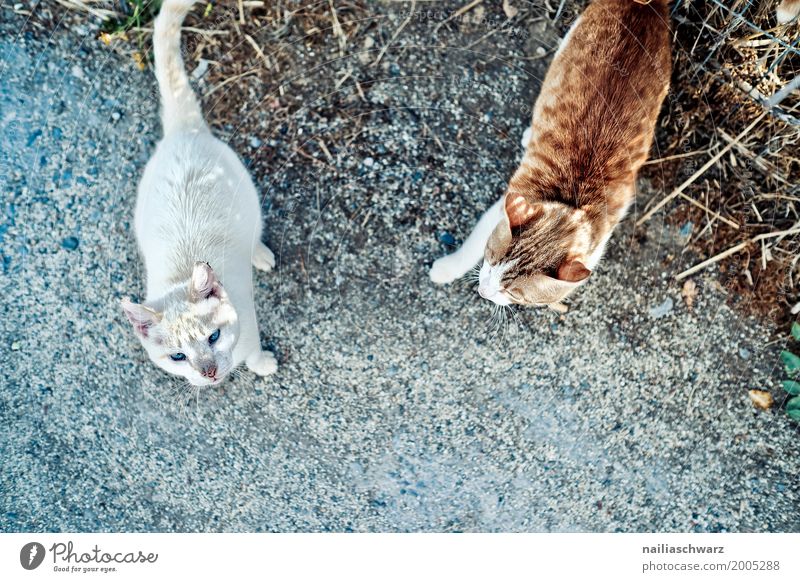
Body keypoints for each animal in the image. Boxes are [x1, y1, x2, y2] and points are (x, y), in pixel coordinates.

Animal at [121, 0, 278, 388]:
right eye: (178, 357)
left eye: (214, 337)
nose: (208, 372)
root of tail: (183, 131)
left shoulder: (249, 320)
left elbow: (253, 349)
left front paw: (261, 363)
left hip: (249, 195)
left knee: (256, 230)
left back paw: (260, 254)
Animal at [428, 1, 672, 310]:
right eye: (490, 259)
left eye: (514, 293)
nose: (483, 291)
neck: (573, 204)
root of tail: (645, 5)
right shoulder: (505, 206)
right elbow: (472, 244)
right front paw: (447, 268)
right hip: (568, 43)